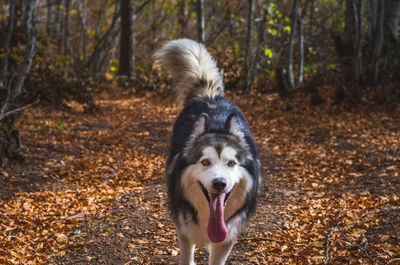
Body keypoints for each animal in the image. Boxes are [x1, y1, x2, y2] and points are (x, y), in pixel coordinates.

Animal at [155, 39, 260, 264]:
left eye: (231, 163)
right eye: (205, 162)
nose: (219, 183)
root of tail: (209, 94)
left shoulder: (226, 239)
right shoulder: (185, 232)